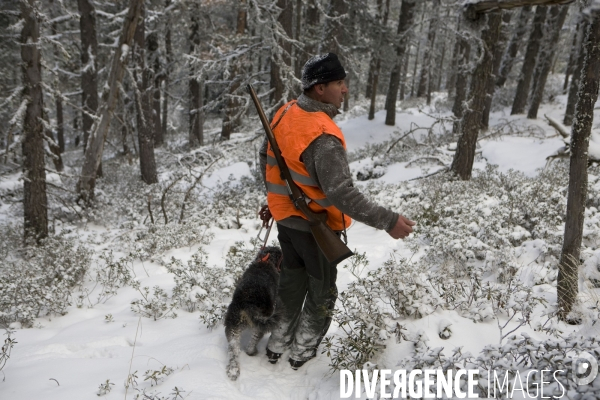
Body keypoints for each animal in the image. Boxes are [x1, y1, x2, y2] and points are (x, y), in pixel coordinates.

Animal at [225, 245, 284, 380]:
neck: (266, 261)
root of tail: (246, 303)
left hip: (233, 327)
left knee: (234, 350)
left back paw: (233, 371)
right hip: (261, 324)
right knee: (252, 343)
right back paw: (252, 353)